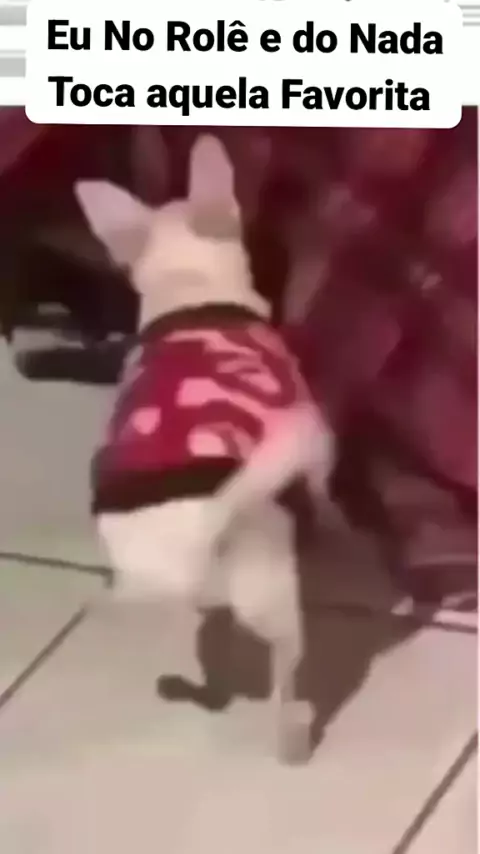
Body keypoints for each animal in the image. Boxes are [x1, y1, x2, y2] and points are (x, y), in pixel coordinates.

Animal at [75, 133, 334, 762]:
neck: (189, 289)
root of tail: (197, 538)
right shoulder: (312, 435)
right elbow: (323, 489)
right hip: (274, 594)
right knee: (284, 678)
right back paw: (294, 738)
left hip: (163, 597)